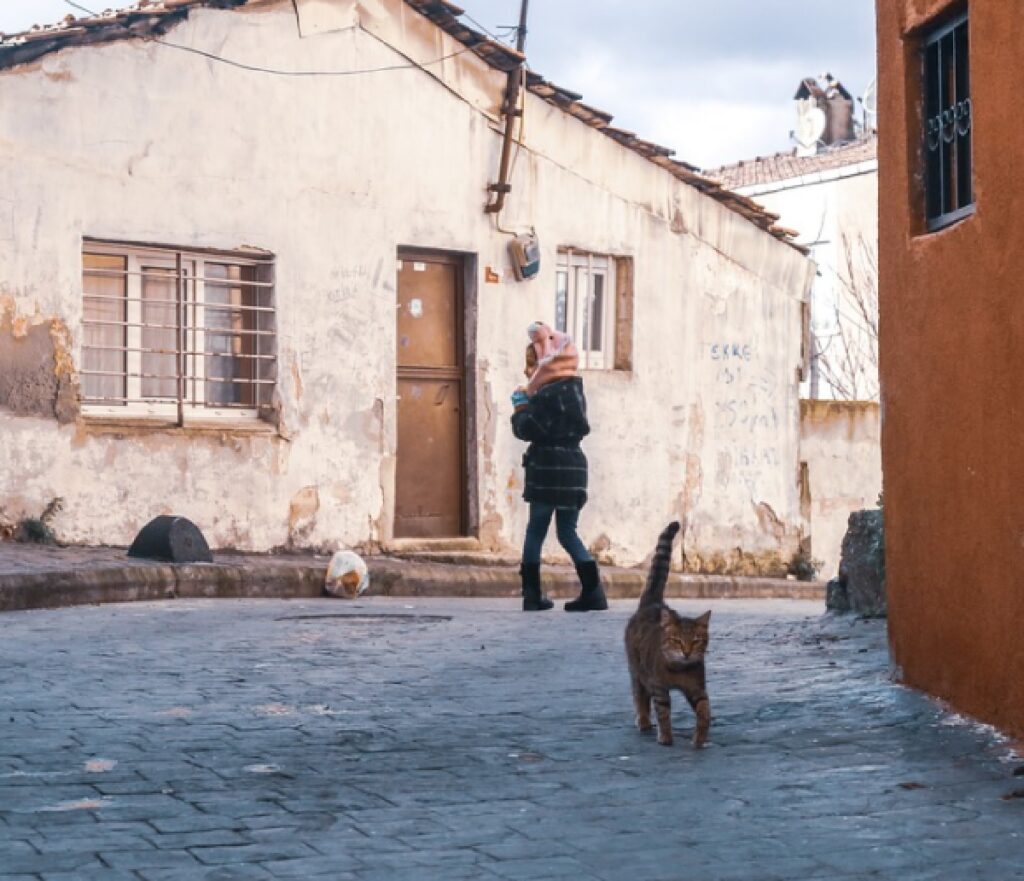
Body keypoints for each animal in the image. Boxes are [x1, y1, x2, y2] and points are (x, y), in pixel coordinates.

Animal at [622, 522, 712, 749]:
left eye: (696, 641)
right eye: (677, 641)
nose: (687, 652)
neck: (679, 670)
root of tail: (653, 602)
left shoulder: (697, 689)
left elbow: (704, 711)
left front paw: (700, 738)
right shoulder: (660, 688)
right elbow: (663, 714)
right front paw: (666, 737)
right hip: (638, 671)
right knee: (639, 696)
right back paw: (643, 721)